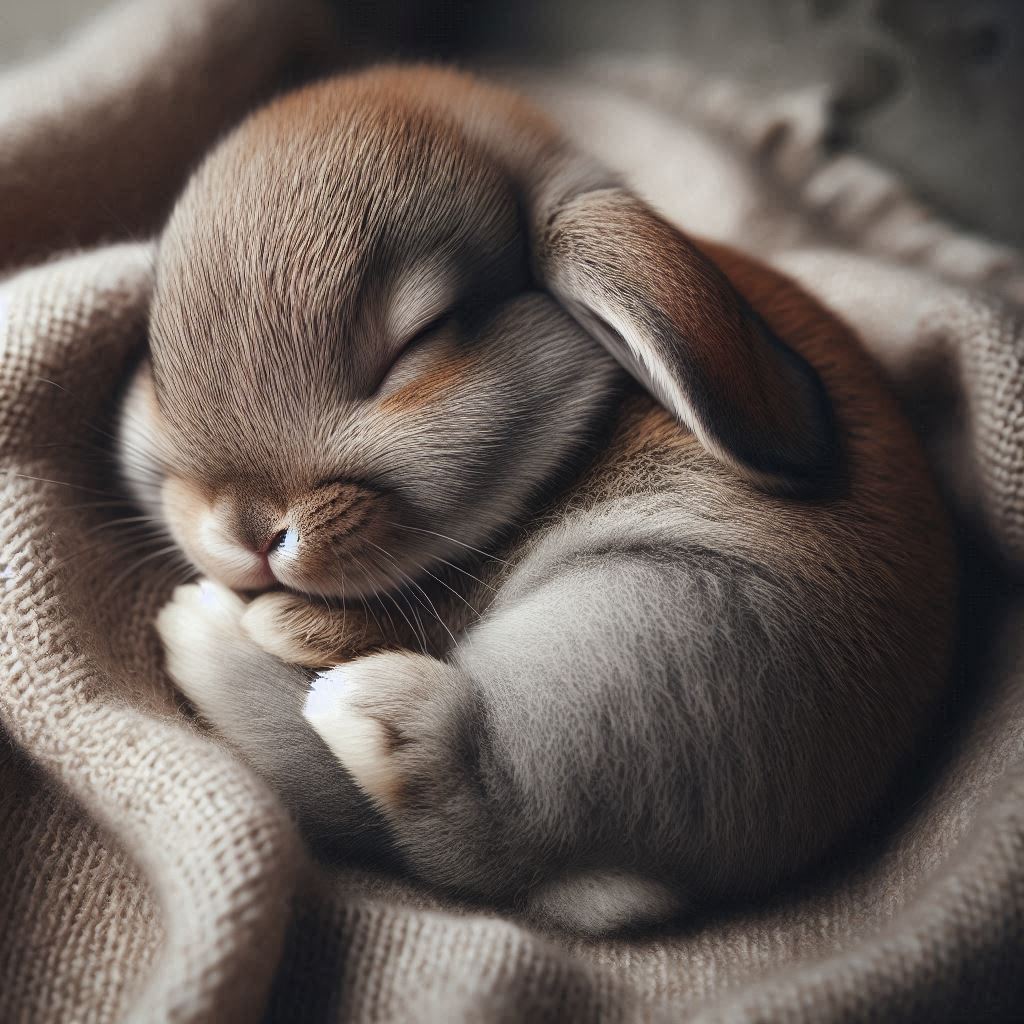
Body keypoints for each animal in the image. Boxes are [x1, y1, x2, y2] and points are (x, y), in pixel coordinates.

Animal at [123, 65, 955, 935]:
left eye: (422, 338)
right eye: (157, 355)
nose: (246, 530)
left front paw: (278, 625)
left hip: (656, 631)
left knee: (478, 809)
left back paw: (264, 659)